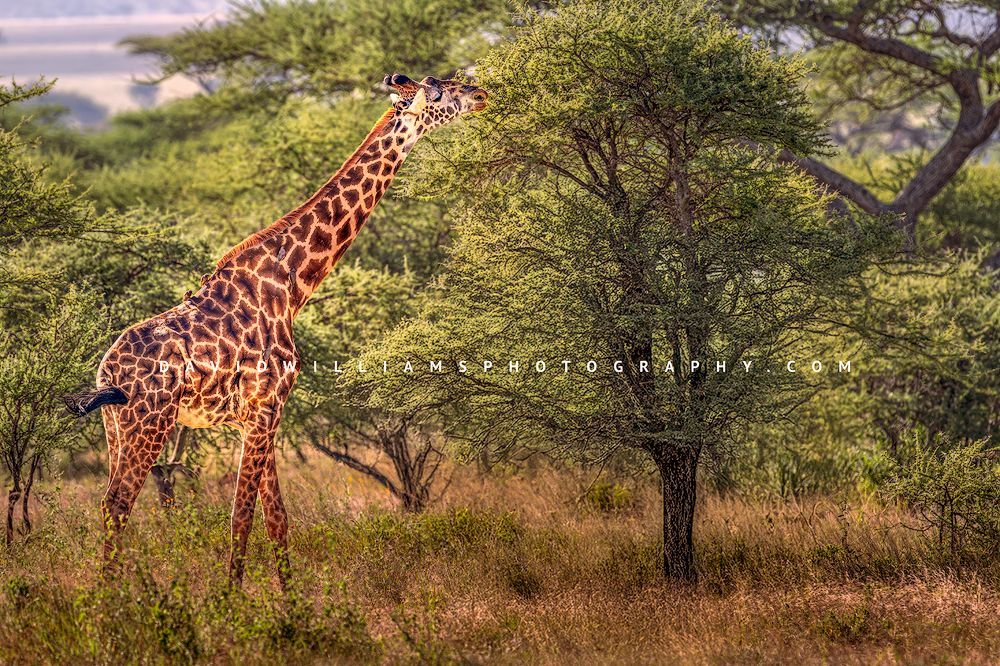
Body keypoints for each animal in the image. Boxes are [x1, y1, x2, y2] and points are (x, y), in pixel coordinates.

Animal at [63, 73, 488, 586]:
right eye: (442, 91)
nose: (481, 93)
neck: (290, 285)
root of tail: (109, 373)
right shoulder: (268, 406)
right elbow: (242, 515)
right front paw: (231, 599)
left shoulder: (257, 416)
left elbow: (277, 518)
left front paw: (290, 599)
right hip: (151, 421)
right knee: (118, 504)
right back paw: (112, 600)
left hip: (115, 427)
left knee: (111, 505)